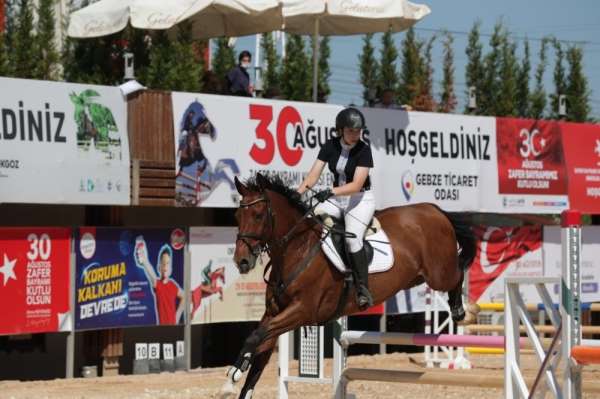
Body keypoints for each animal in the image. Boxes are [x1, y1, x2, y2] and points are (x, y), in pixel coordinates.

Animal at [225, 173, 478, 398]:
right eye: (237, 215)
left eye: (258, 215)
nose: (242, 261)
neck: (297, 249)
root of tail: (435, 210)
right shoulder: (274, 313)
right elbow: (259, 352)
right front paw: (236, 375)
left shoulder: (303, 311)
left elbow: (255, 337)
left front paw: (234, 373)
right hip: (418, 276)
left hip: (438, 274)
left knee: (457, 274)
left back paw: (463, 311)